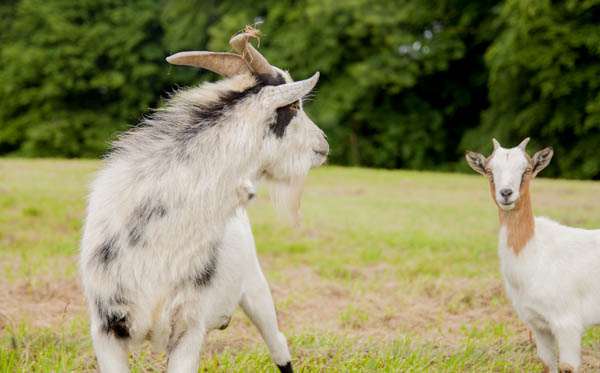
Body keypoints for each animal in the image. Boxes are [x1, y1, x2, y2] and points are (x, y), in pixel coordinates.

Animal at [79, 29, 328, 372]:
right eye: (292, 107)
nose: (324, 145)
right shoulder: (106, 328)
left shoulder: (188, 328)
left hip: (256, 289)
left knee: (278, 343)